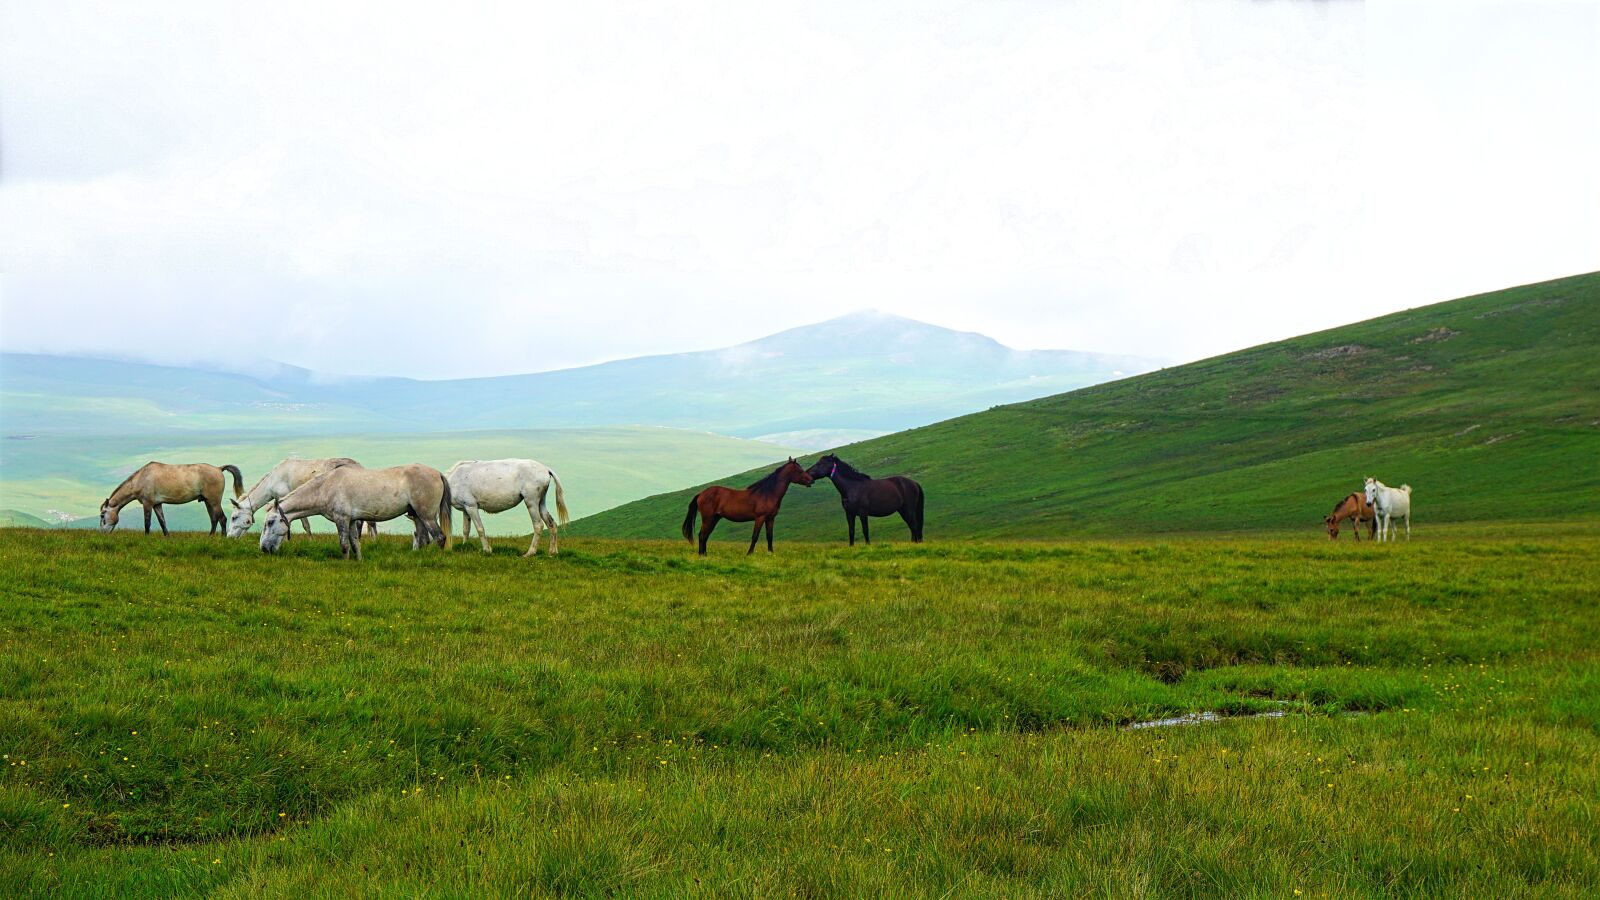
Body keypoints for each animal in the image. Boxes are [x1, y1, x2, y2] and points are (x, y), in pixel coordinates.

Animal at [99, 462, 244, 535]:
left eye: (102, 515)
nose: (102, 533)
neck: (141, 478)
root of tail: (219, 469)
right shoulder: (157, 504)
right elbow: (162, 522)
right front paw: (167, 536)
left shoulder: (147, 503)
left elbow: (147, 522)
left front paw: (147, 537)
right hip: (208, 501)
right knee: (214, 519)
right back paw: (211, 537)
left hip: (214, 501)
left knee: (222, 518)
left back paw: (222, 538)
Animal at [227, 457, 378, 539]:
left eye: (234, 517)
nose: (229, 537)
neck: (273, 480)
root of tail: (360, 466)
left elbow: (304, 524)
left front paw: (310, 540)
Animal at [261, 464, 451, 560]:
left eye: (270, 522)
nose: (263, 548)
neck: (326, 487)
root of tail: (438, 473)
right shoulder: (352, 521)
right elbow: (355, 544)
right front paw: (359, 561)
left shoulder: (342, 519)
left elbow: (344, 545)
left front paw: (345, 564)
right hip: (418, 516)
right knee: (423, 539)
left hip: (427, 516)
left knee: (440, 538)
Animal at [681, 458, 813, 555]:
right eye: (799, 470)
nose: (811, 480)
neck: (767, 493)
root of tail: (701, 494)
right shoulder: (760, 518)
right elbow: (755, 536)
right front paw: (749, 553)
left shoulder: (770, 518)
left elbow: (769, 536)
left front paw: (771, 553)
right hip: (708, 518)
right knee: (702, 535)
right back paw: (702, 555)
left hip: (714, 518)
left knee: (705, 535)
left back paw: (704, 554)